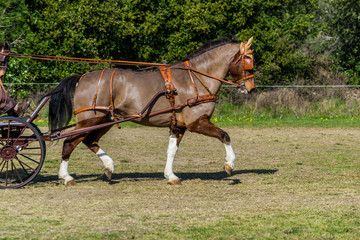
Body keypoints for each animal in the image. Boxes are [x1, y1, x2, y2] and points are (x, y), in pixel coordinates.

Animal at [46, 38, 256, 186]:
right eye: (248, 61)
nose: (251, 88)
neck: (194, 79)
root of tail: (82, 77)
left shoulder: (178, 126)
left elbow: (171, 151)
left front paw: (170, 175)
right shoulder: (196, 122)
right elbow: (225, 135)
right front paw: (230, 164)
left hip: (104, 120)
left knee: (90, 141)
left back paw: (109, 167)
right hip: (89, 120)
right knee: (69, 142)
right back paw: (66, 177)